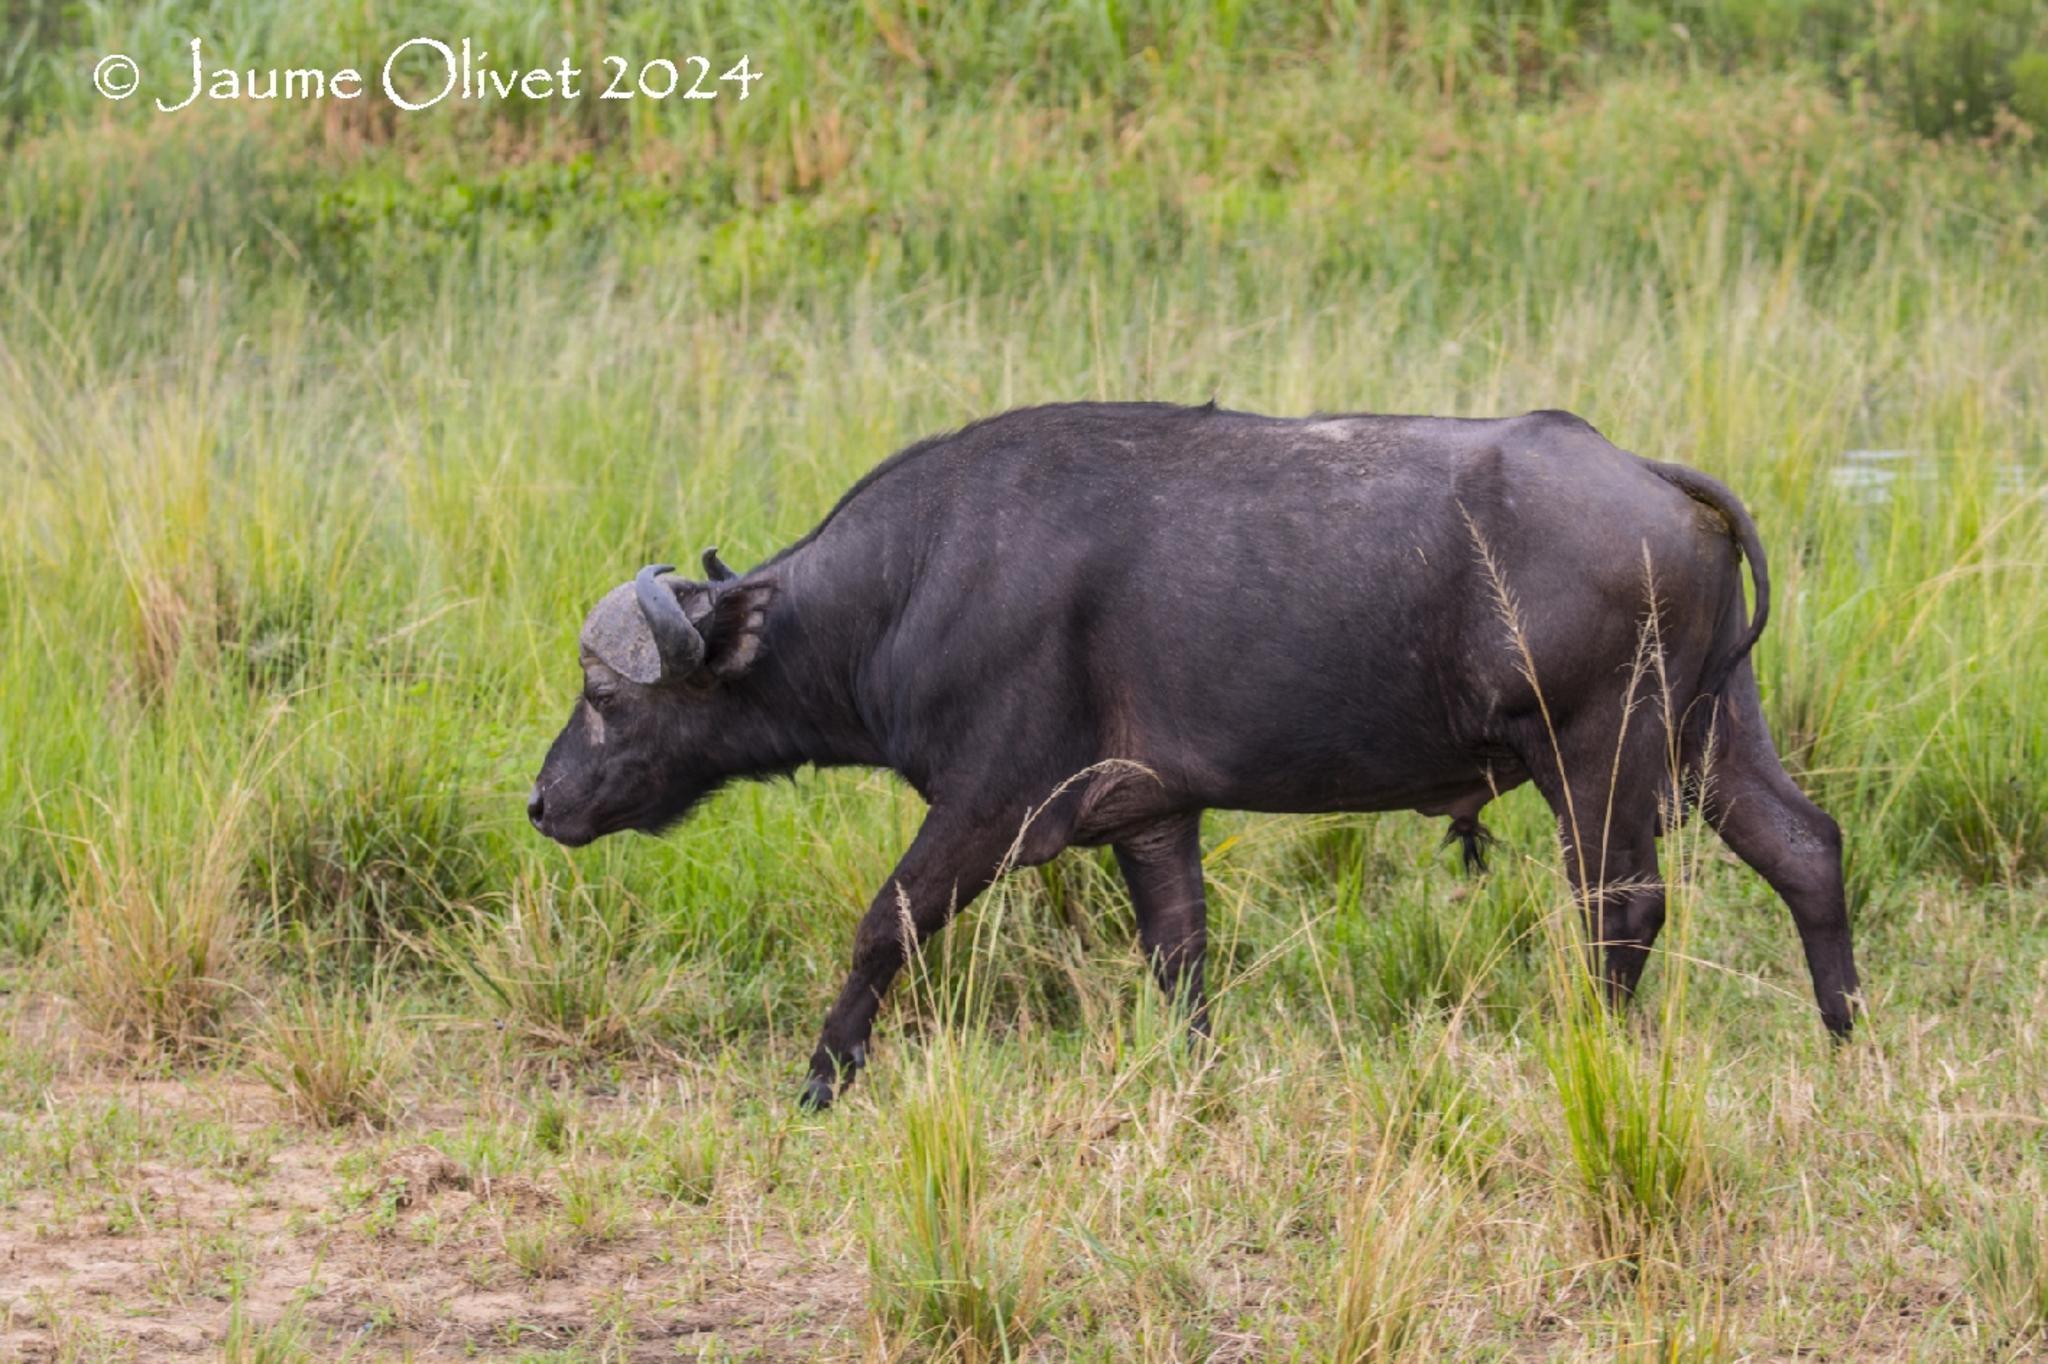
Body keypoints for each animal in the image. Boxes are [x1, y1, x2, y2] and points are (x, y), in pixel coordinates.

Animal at [524, 399, 1859, 1097]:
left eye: (604, 696)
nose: (542, 801)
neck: (915, 582)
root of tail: (1652, 478)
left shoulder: (991, 805)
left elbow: (881, 924)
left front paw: (821, 1074)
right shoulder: (1151, 815)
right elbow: (1179, 957)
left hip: (1599, 750)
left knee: (1619, 904)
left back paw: (1589, 1043)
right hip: (1706, 731)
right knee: (1805, 847)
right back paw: (1845, 1030)